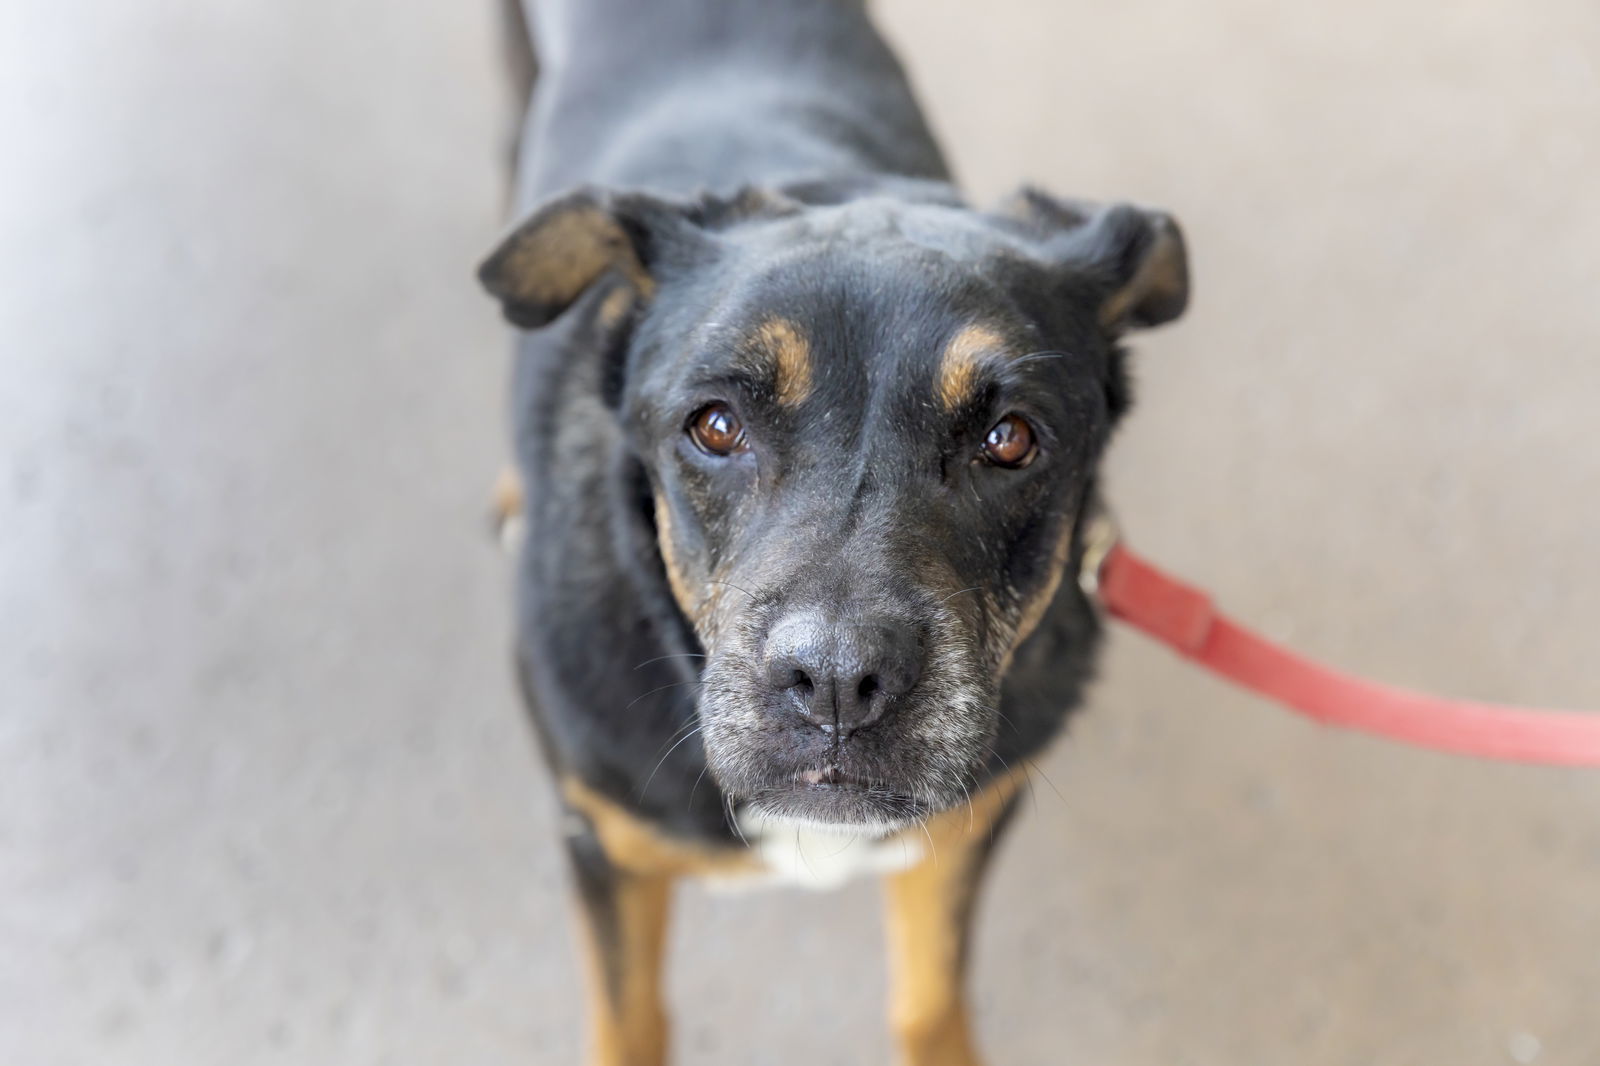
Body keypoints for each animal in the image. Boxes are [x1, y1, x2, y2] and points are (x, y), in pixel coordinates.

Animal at [473, 4, 1190, 1056]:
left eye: (1010, 438)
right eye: (715, 425)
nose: (840, 683)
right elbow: (629, 1018)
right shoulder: (605, 839)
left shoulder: (966, 824)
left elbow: (930, 998)